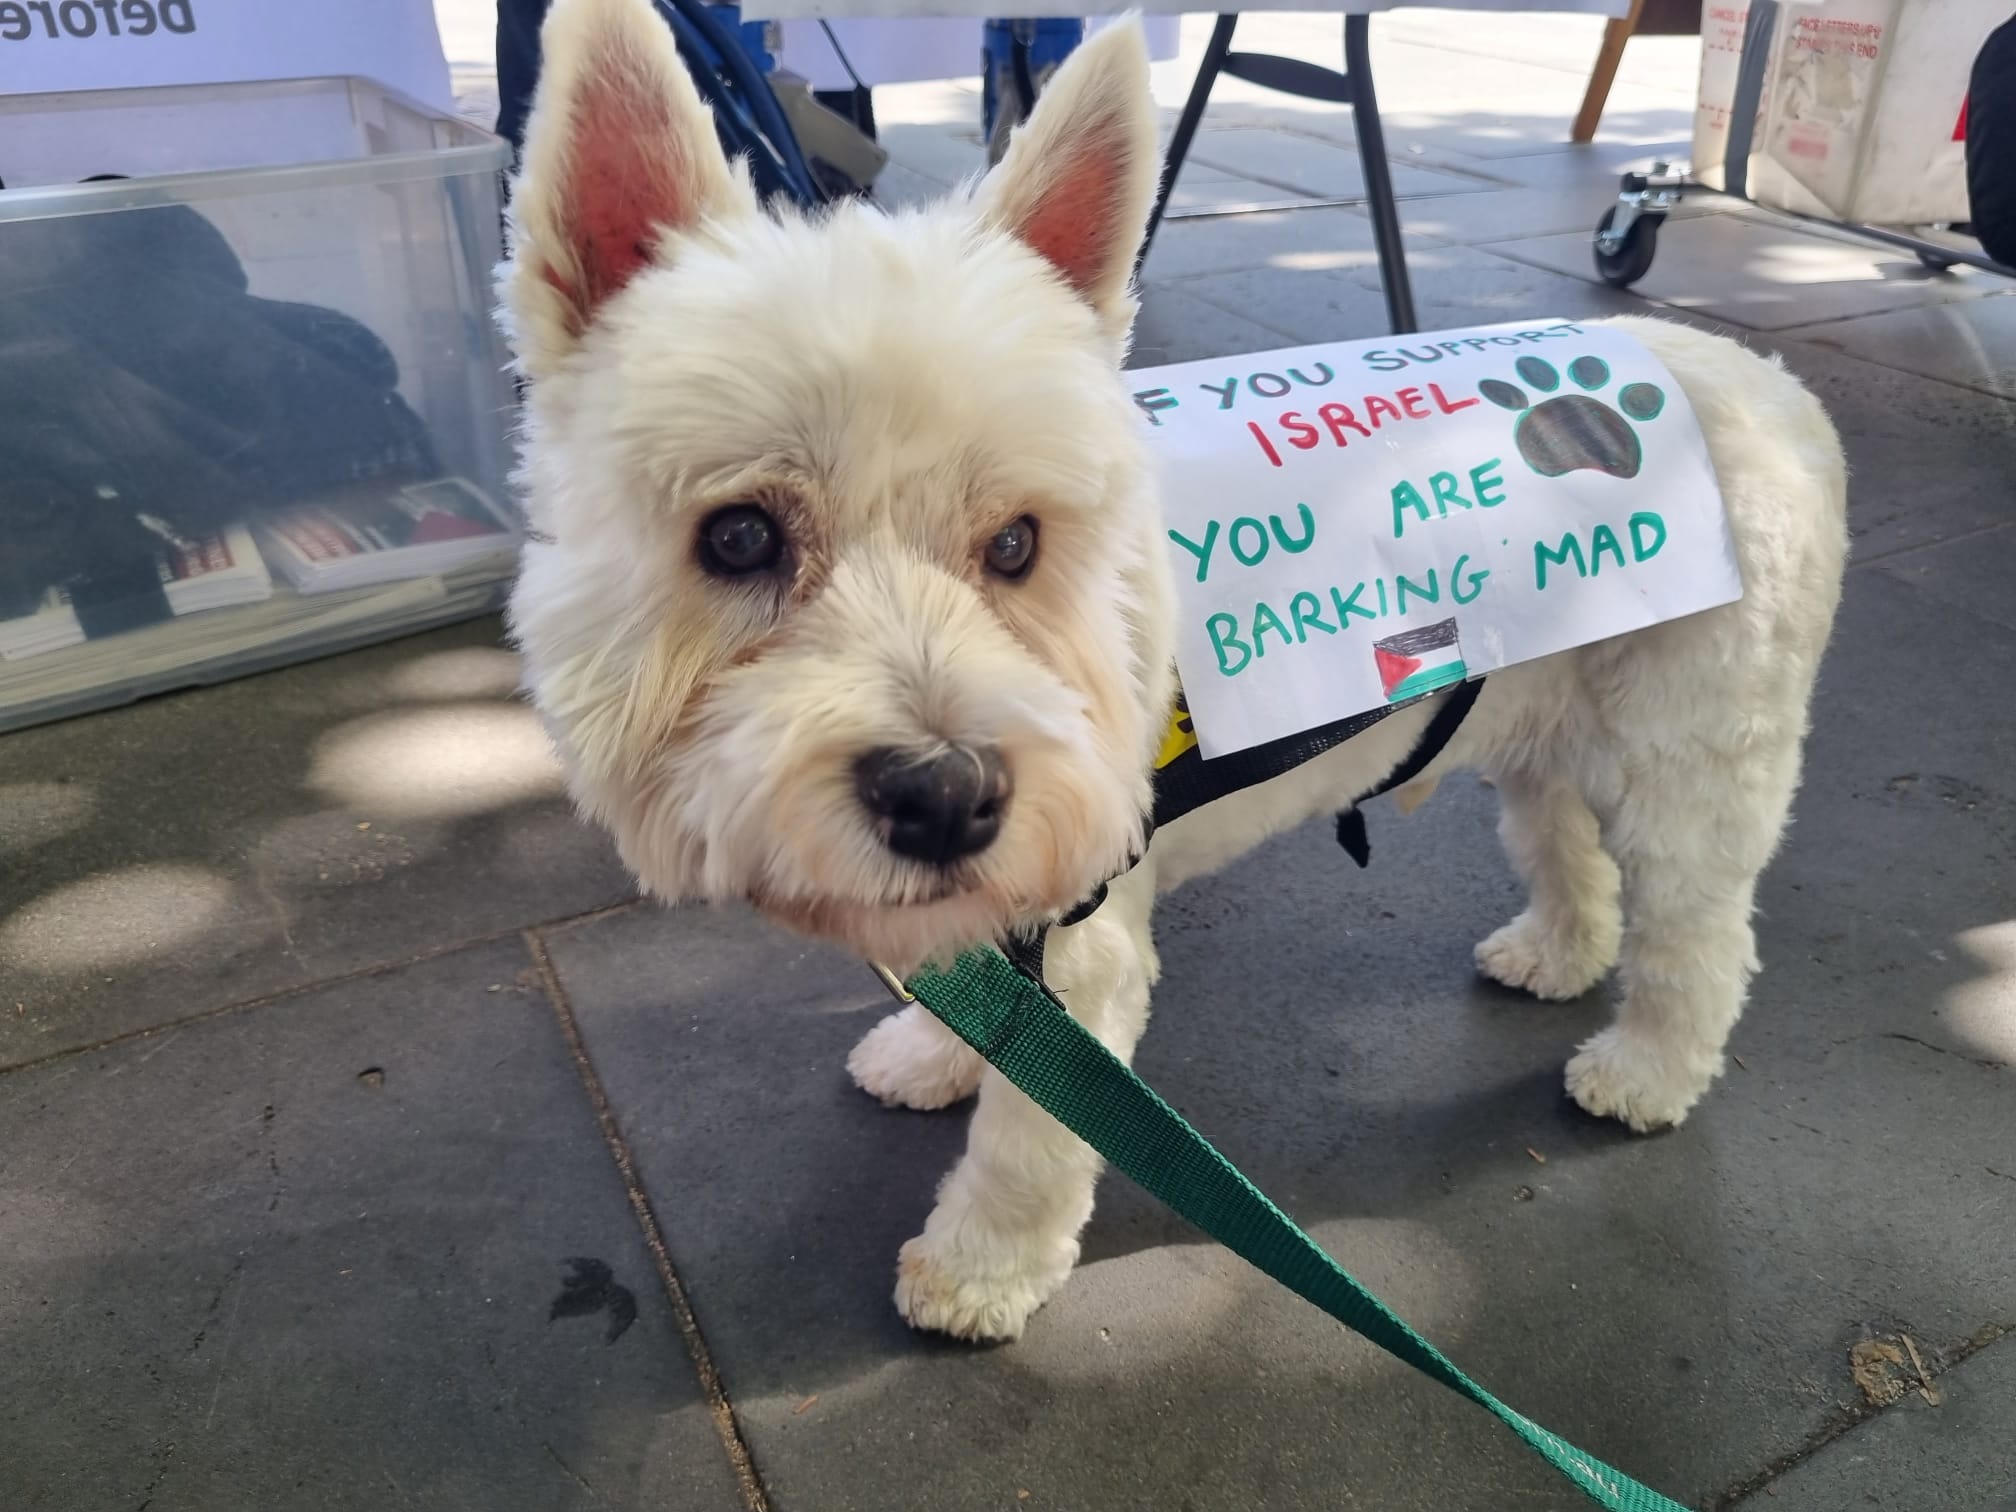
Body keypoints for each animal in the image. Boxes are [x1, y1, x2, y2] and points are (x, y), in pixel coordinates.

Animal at [499, 2, 1846, 1346]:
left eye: (1016, 543)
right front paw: (935, 1056)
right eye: (737, 538)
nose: (946, 797)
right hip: (1539, 709)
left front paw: (981, 1267)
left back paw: (1647, 1072)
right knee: (1563, 840)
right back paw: (1556, 954)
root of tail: (1777, 391)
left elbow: (1036, 1131)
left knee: (1699, 931)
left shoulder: (1087, 922)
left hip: (1698, 759)